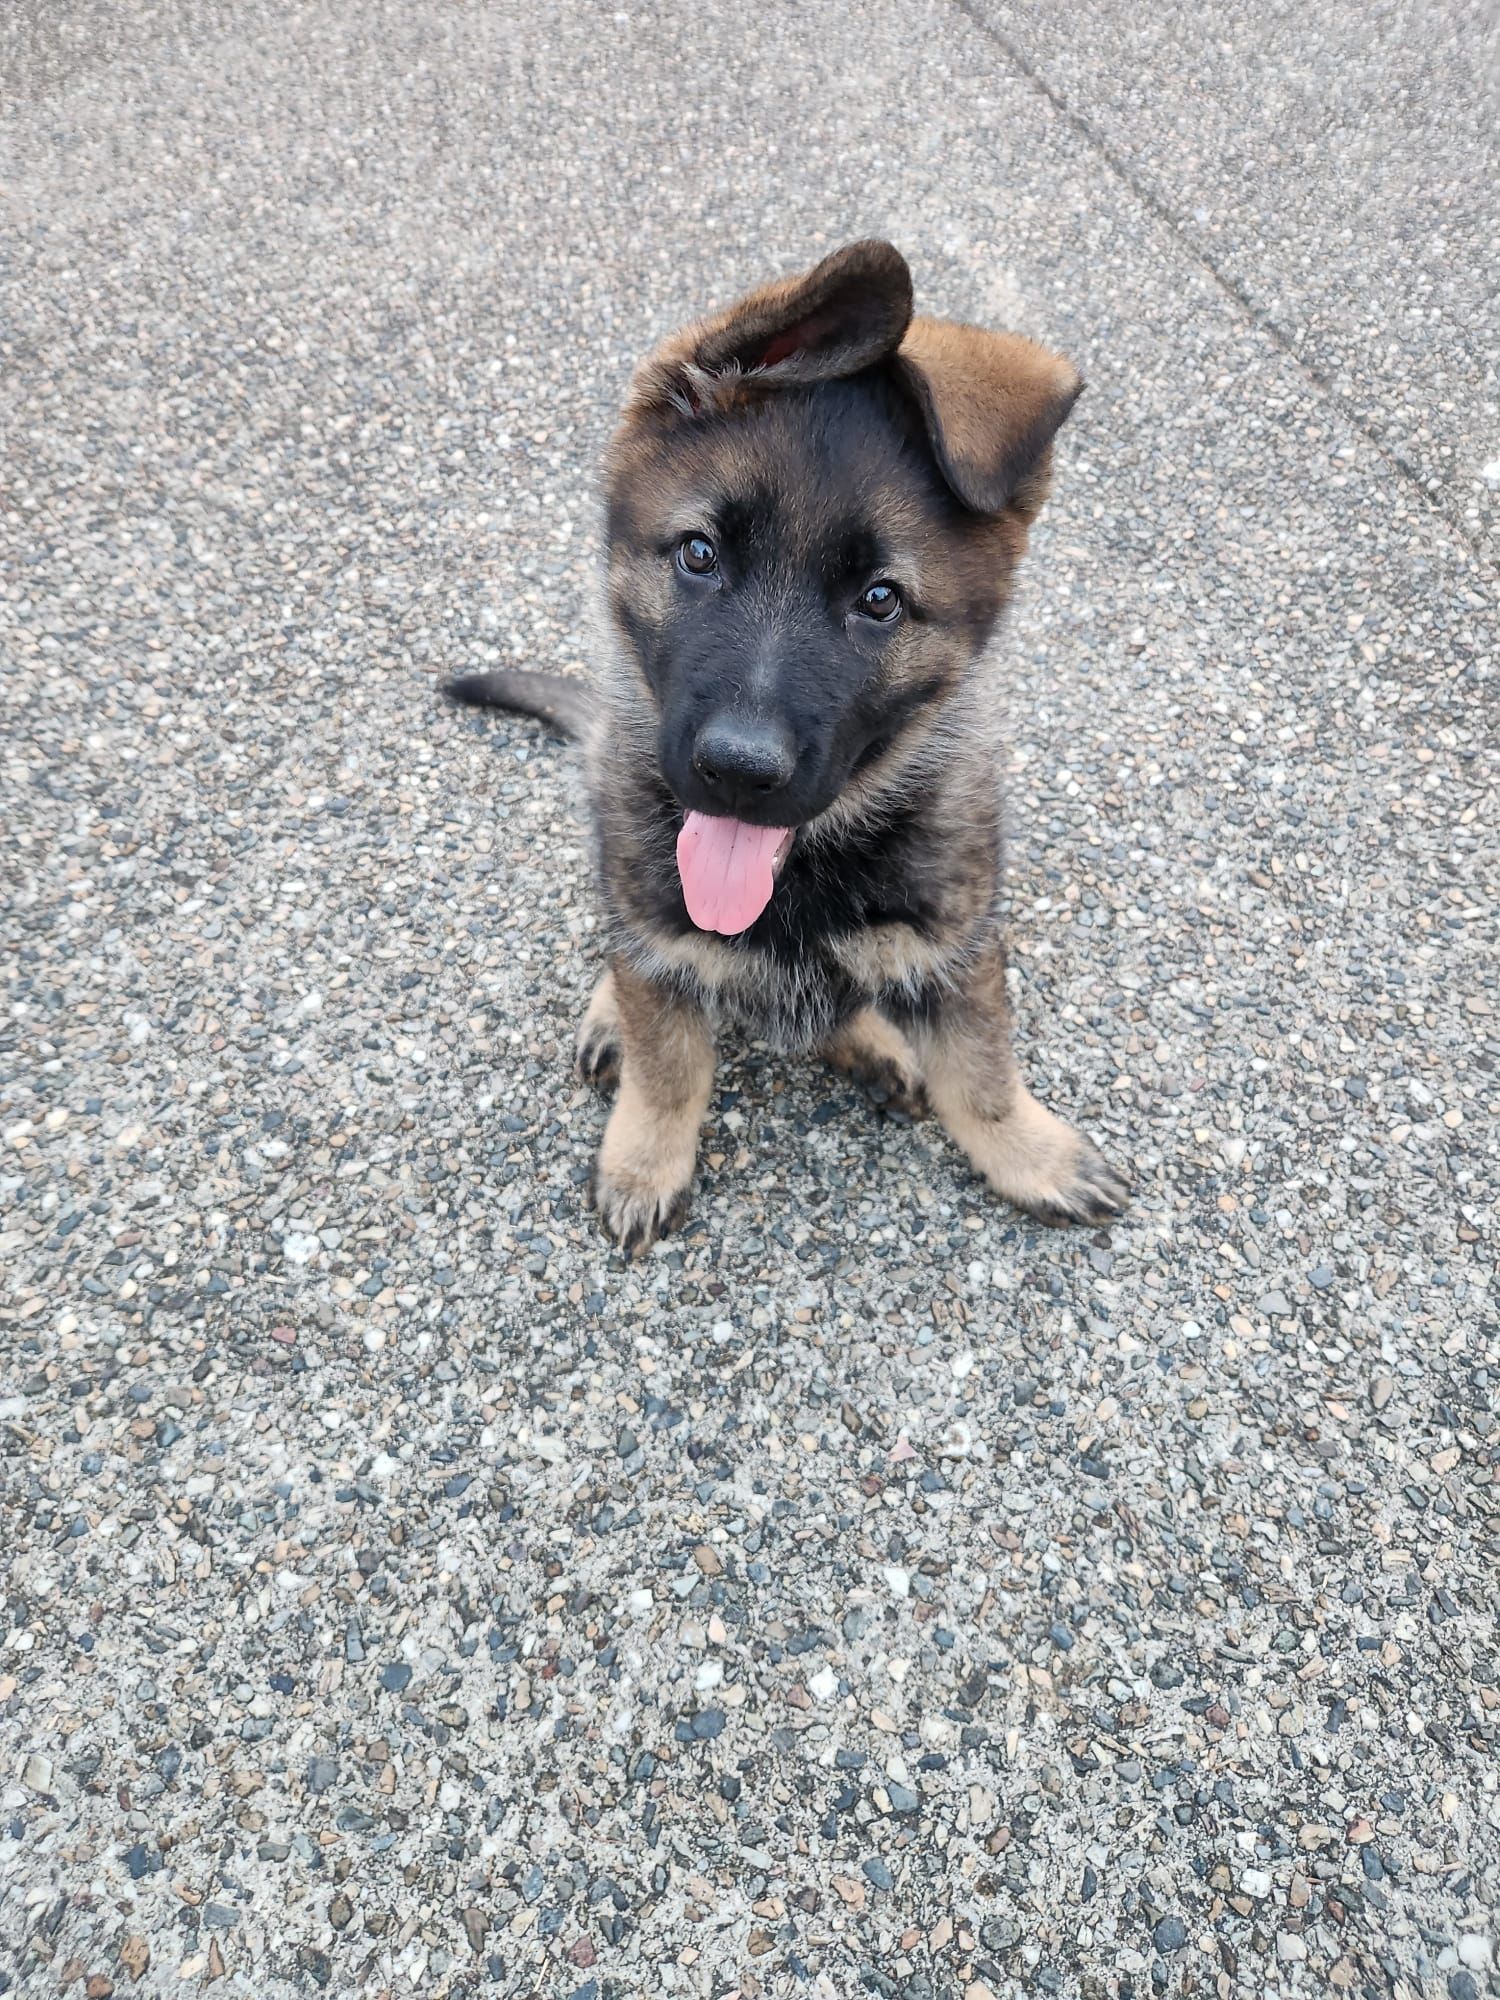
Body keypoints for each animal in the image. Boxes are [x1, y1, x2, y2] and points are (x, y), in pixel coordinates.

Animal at [448, 240, 1129, 1251]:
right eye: (698, 555)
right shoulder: (658, 939)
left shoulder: (956, 950)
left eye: (880, 601)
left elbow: (980, 1071)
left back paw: (875, 1043)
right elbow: (667, 1065)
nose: (738, 771)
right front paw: (643, 1159)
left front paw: (1029, 1151)